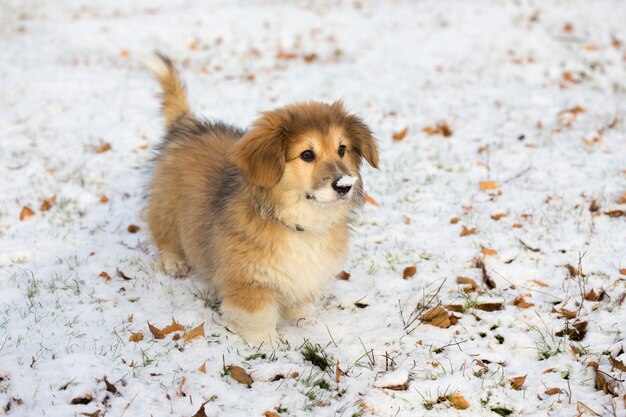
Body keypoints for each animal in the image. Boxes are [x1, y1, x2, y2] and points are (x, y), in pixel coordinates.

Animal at [144, 53, 378, 344]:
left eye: (342, 149)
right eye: (307, 155)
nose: (345, 185)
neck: (300, 222)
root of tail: (188, 125)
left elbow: (300, 302)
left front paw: (304, 322)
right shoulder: (248, 280)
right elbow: (258, 316)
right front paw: (268, 343)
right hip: (166, 207)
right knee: (164, 235)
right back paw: (173, 262)